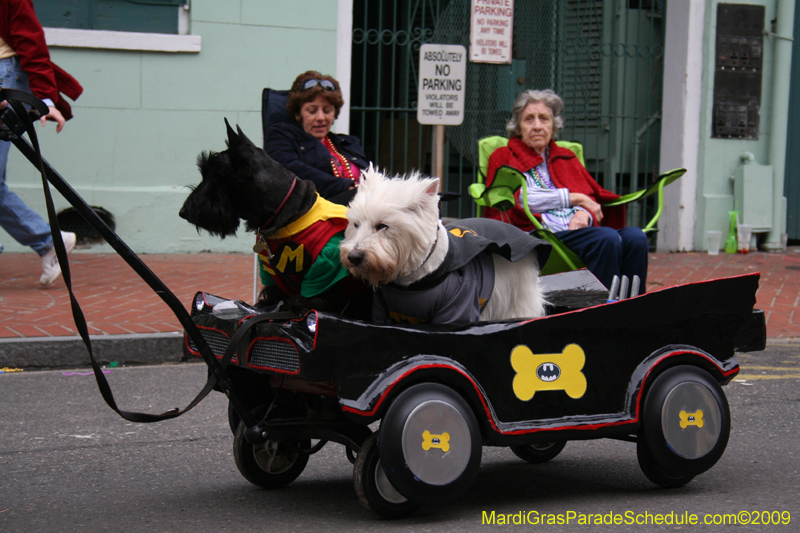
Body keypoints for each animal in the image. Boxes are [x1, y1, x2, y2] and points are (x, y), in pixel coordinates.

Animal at [338, 166, 552, 324]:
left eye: (382, 226)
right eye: (355, 224)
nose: (353, 257)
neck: (412, 281)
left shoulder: (457, 311)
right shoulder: (382, 312)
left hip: (519, 297)